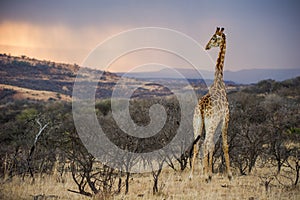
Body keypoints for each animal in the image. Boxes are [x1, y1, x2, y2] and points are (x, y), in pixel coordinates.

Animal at [189, 27, 233, 182]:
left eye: (214, 37)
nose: (206, 46)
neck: (219, 83)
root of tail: (201, 107)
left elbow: (213, 146)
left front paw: (209, 172)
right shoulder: (226, 118)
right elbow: (224, 145)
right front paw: (229, 175)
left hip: (197, 122)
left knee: (198, 145)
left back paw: (191, 176)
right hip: (211, 123)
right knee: (206, 143)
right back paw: (206, 176)